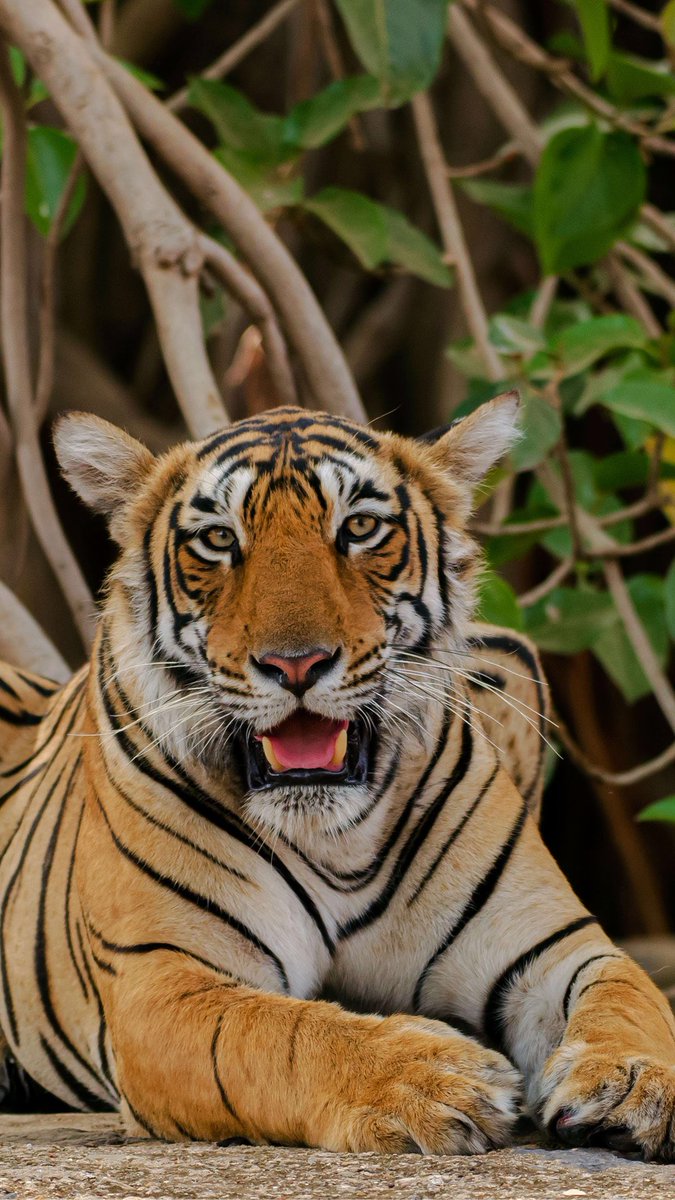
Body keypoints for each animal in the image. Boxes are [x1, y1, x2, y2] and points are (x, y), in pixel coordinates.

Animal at [0, 396, 667, 1161]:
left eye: (359, 528)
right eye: (219, 540)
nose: (296, 664)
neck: (336, 839)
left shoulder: (550, 944)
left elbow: (628, 994)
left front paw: (633, 1080)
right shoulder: (163, 978)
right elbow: (287, 1035)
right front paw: (435, 1077)